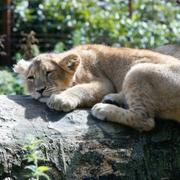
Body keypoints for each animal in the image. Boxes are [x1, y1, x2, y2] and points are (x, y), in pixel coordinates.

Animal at [13, 43, 180, 131]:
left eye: (49, 73)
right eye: (30, 78)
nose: (39, 90)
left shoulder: (104, 83)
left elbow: (80, 89)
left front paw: (60, 100)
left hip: (139, 70)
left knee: (146, 120)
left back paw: (103, 109)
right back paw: (113, 100)